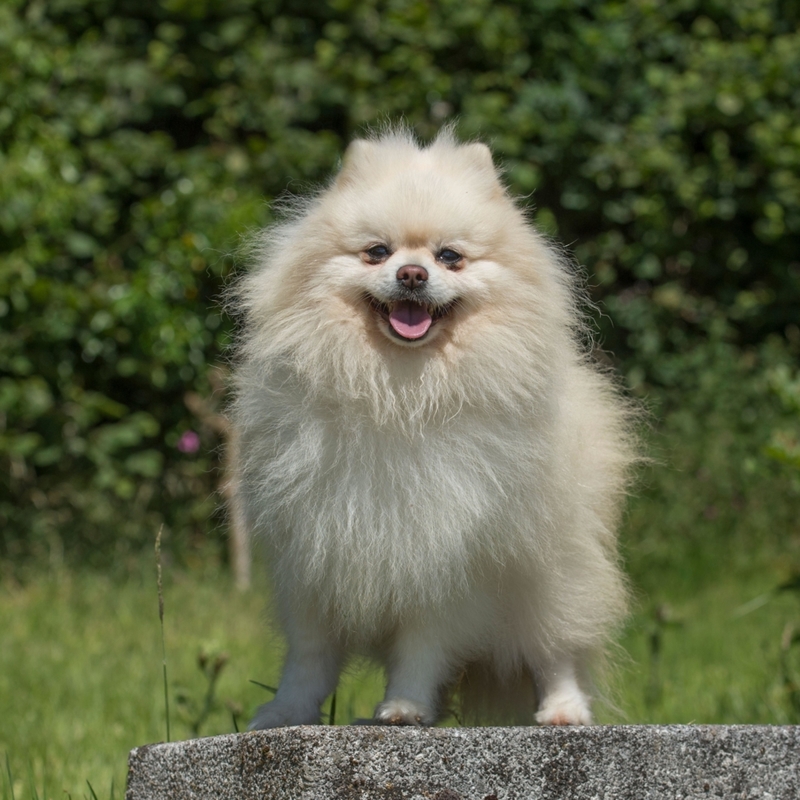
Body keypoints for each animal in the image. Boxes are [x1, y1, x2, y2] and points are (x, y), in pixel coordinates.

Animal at [231, 126, 636, 732]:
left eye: (450, 257)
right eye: (378, 251)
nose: (412, 274)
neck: (399, 392)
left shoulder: (444, 558)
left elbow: (422, 646)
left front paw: (404, 707)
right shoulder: (314, 551)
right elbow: (309, 656)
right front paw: (286, 713)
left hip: (554, 576)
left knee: (556, 649)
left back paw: (563, 710)